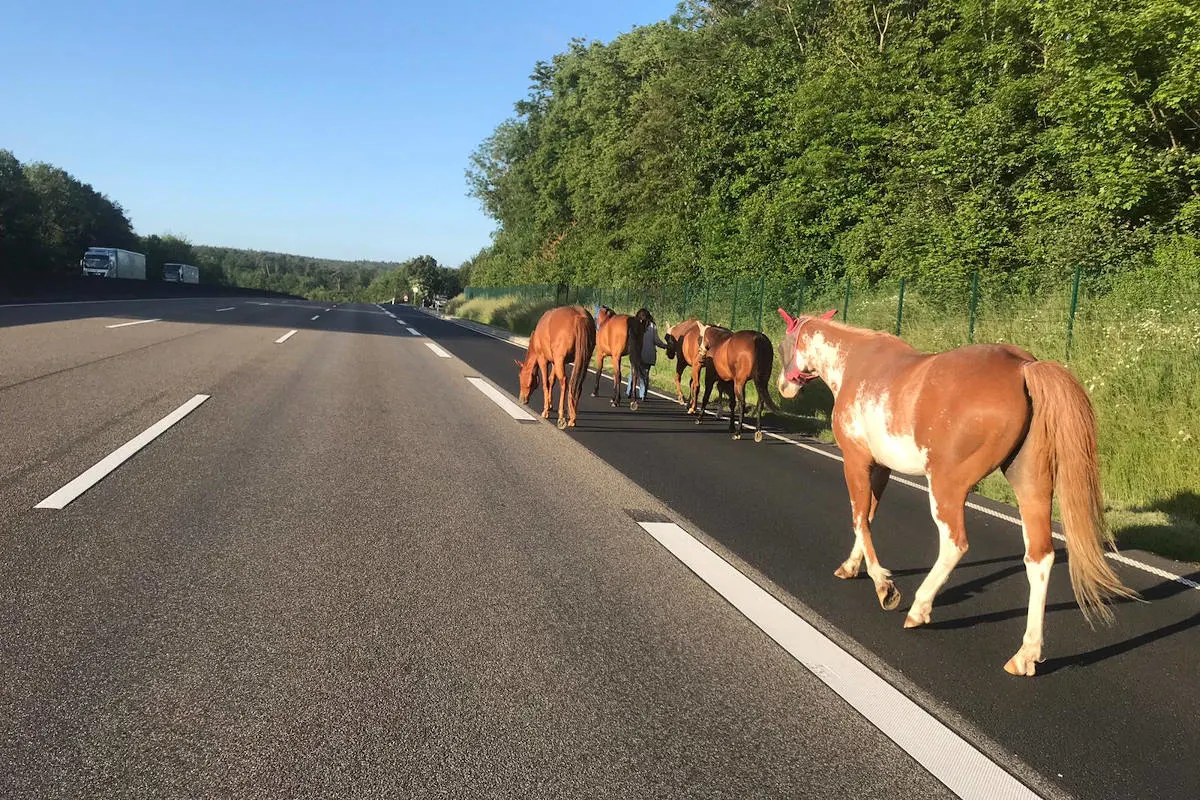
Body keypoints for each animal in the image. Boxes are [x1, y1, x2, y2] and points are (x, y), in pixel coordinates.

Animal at [774, 307, 1138, 676]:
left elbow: (859, 517)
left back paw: (919, 607)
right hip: (1031, 485)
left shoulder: (856, 460)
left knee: (955, 543)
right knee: (1039, 556)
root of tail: (1023, 367)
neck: (854, 364)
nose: (783, 386)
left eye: (781, 345)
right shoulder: (882, 468)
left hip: (945, 485)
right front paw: (851, 566)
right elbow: (869, 516)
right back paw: (1025, 655)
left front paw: (883, 586)